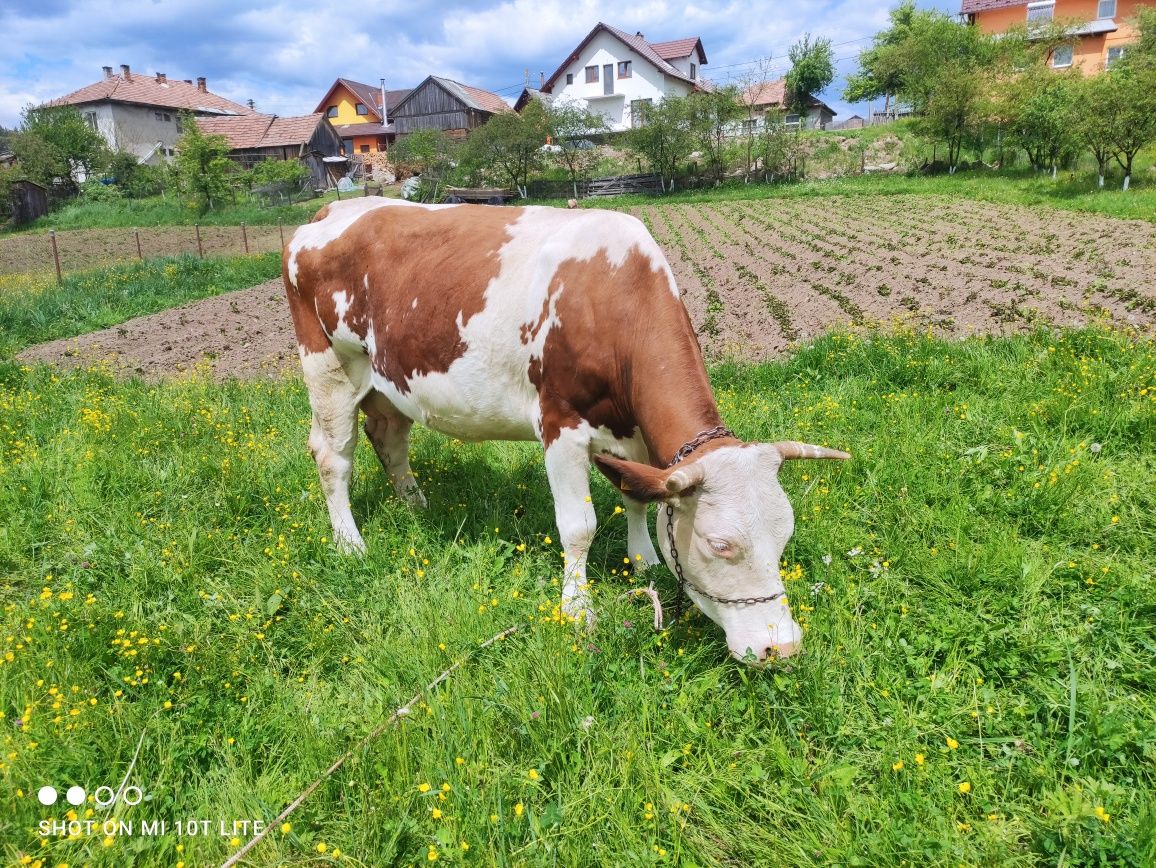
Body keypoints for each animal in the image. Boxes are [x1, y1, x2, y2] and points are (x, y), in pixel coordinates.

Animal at [280, 196, 846, 661]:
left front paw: (644, 560)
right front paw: (577, 609)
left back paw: (416, 505)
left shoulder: (632, 431)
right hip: (328, 367)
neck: (613, 295)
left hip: (387, 378)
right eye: (718, 543)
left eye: (785, 536)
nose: (781, 647)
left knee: (389, 437)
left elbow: (636, 496)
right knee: (332, 456)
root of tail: (333, 209)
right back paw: (349, 542)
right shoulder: (560, 424)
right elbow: (579, 526)